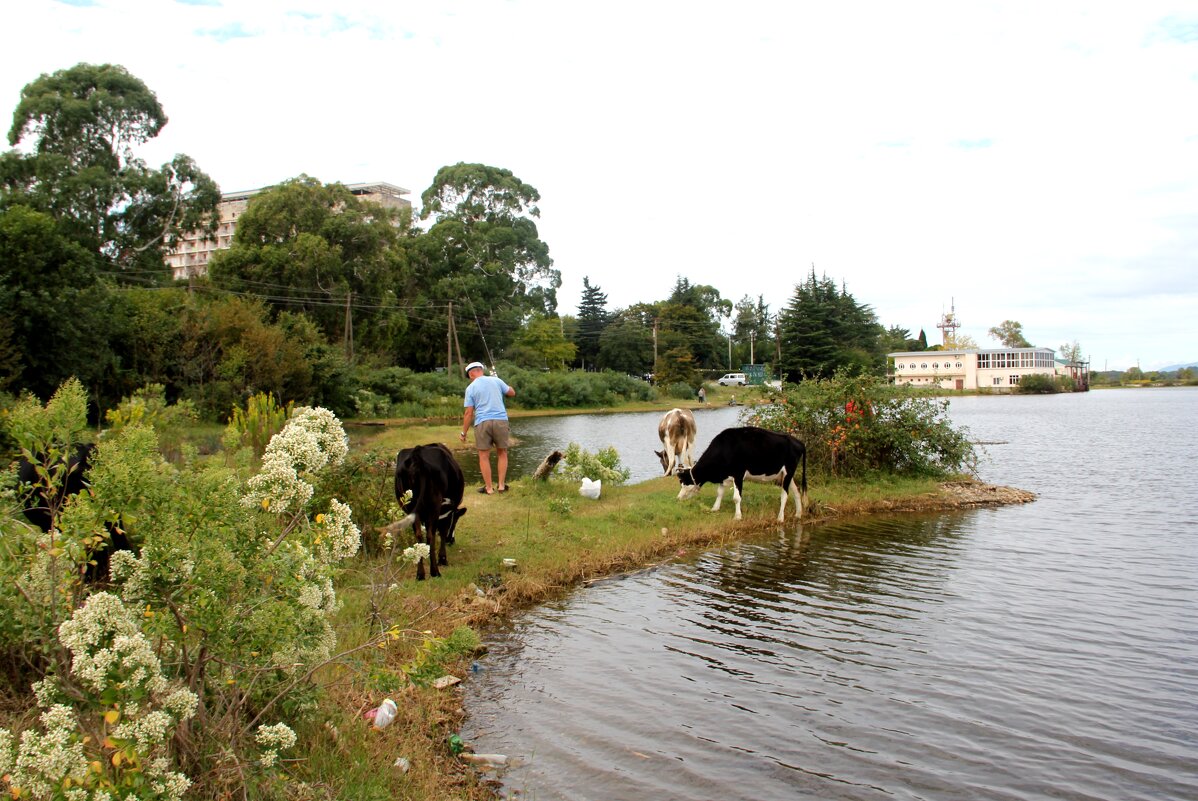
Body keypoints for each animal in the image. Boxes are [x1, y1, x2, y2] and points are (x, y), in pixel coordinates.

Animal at [395, 440, 464, 577]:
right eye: (456, 521)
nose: (451, 541)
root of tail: (417, 454)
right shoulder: (446, 511)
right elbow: (442, 530)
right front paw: (442, 559)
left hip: (411, 507)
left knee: (418, 535)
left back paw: (420, 574)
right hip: (433, 506)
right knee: (430, 534)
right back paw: (434, 571)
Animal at [680, 428, 809, 522]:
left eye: (685, 483)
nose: (678, 498)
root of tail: (799, 442)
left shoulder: (738, 474)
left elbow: (736, 498)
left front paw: (737, 516)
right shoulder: (725, 476)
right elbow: (720, 492)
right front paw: (714, 508)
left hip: (788, 471)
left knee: (785, 495)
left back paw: (780, 518)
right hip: (787, 474)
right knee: (796, 491)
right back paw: (798, 514)